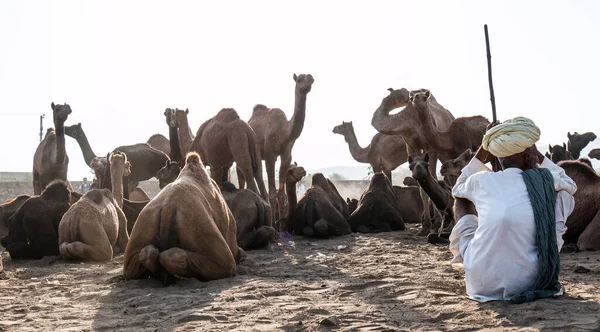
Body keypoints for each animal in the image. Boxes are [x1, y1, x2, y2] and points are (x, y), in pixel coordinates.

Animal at [123, 153, 245, 286]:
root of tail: (169, 205)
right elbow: (238, 252)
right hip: (197, 223)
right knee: (227, 263)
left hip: (145, 219)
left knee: (137, 262)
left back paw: (165, 276)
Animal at [247, 74, 314, 222]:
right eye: (299, 79)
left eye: (309, 77)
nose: (310, 78)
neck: (284, 133)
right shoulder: (270, 155)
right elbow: (272, 193)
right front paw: (274, 224)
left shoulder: (286, 155)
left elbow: (282, 194)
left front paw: (282, 223)